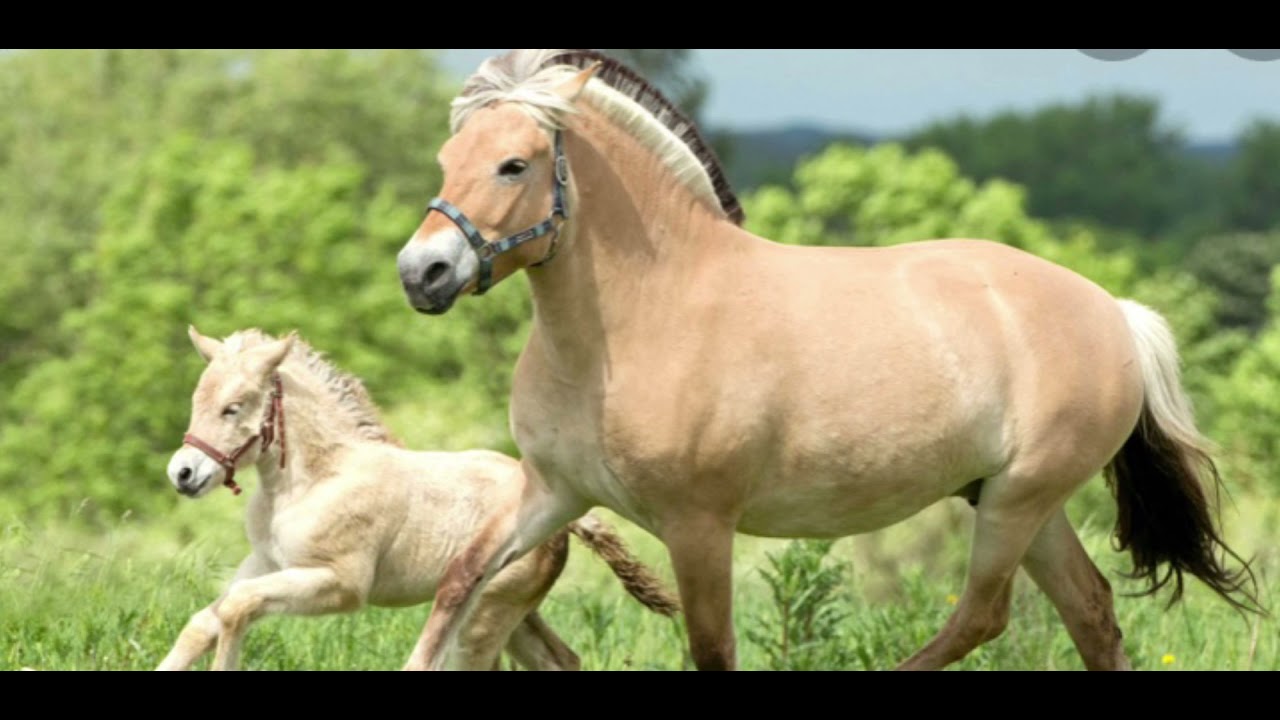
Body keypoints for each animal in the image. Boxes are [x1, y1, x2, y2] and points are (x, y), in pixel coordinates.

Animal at [158, 325, 679, 671]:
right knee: (561, 660)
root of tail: (567, 516)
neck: (316, 480)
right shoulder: (265, 564)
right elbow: (205, 621)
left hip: (484, 618)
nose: (182, 473)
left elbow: (237, 607)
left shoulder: (340, 584)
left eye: (233, 408)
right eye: (196, 401)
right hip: (513, 613)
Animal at [395, 49, 1259, 670]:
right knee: (1091, 614)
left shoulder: (698, 527)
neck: (640, 320)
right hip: (1020, 505)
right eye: (446, 158)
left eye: (515, 163)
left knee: (982, 616)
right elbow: (457, 588)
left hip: (1019, 501)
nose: (421, 273)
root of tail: (1114, 312)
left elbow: (712, 650)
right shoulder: (552, 495)